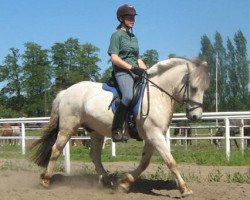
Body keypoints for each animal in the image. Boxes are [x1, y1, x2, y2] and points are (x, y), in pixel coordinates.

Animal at [30, 57, 209, 197]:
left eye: (204, 88)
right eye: (194, 88)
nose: (196, 117)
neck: (158, 94)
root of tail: (66, 91)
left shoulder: (152, 137)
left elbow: (144, 163)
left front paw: (125, 184)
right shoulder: (155, 135)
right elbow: (171, 162)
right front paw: (185, 189)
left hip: (96, 132)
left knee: (94, 155)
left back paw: (106, 181)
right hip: (68, 128)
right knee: (56, 149)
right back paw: (46, 180)